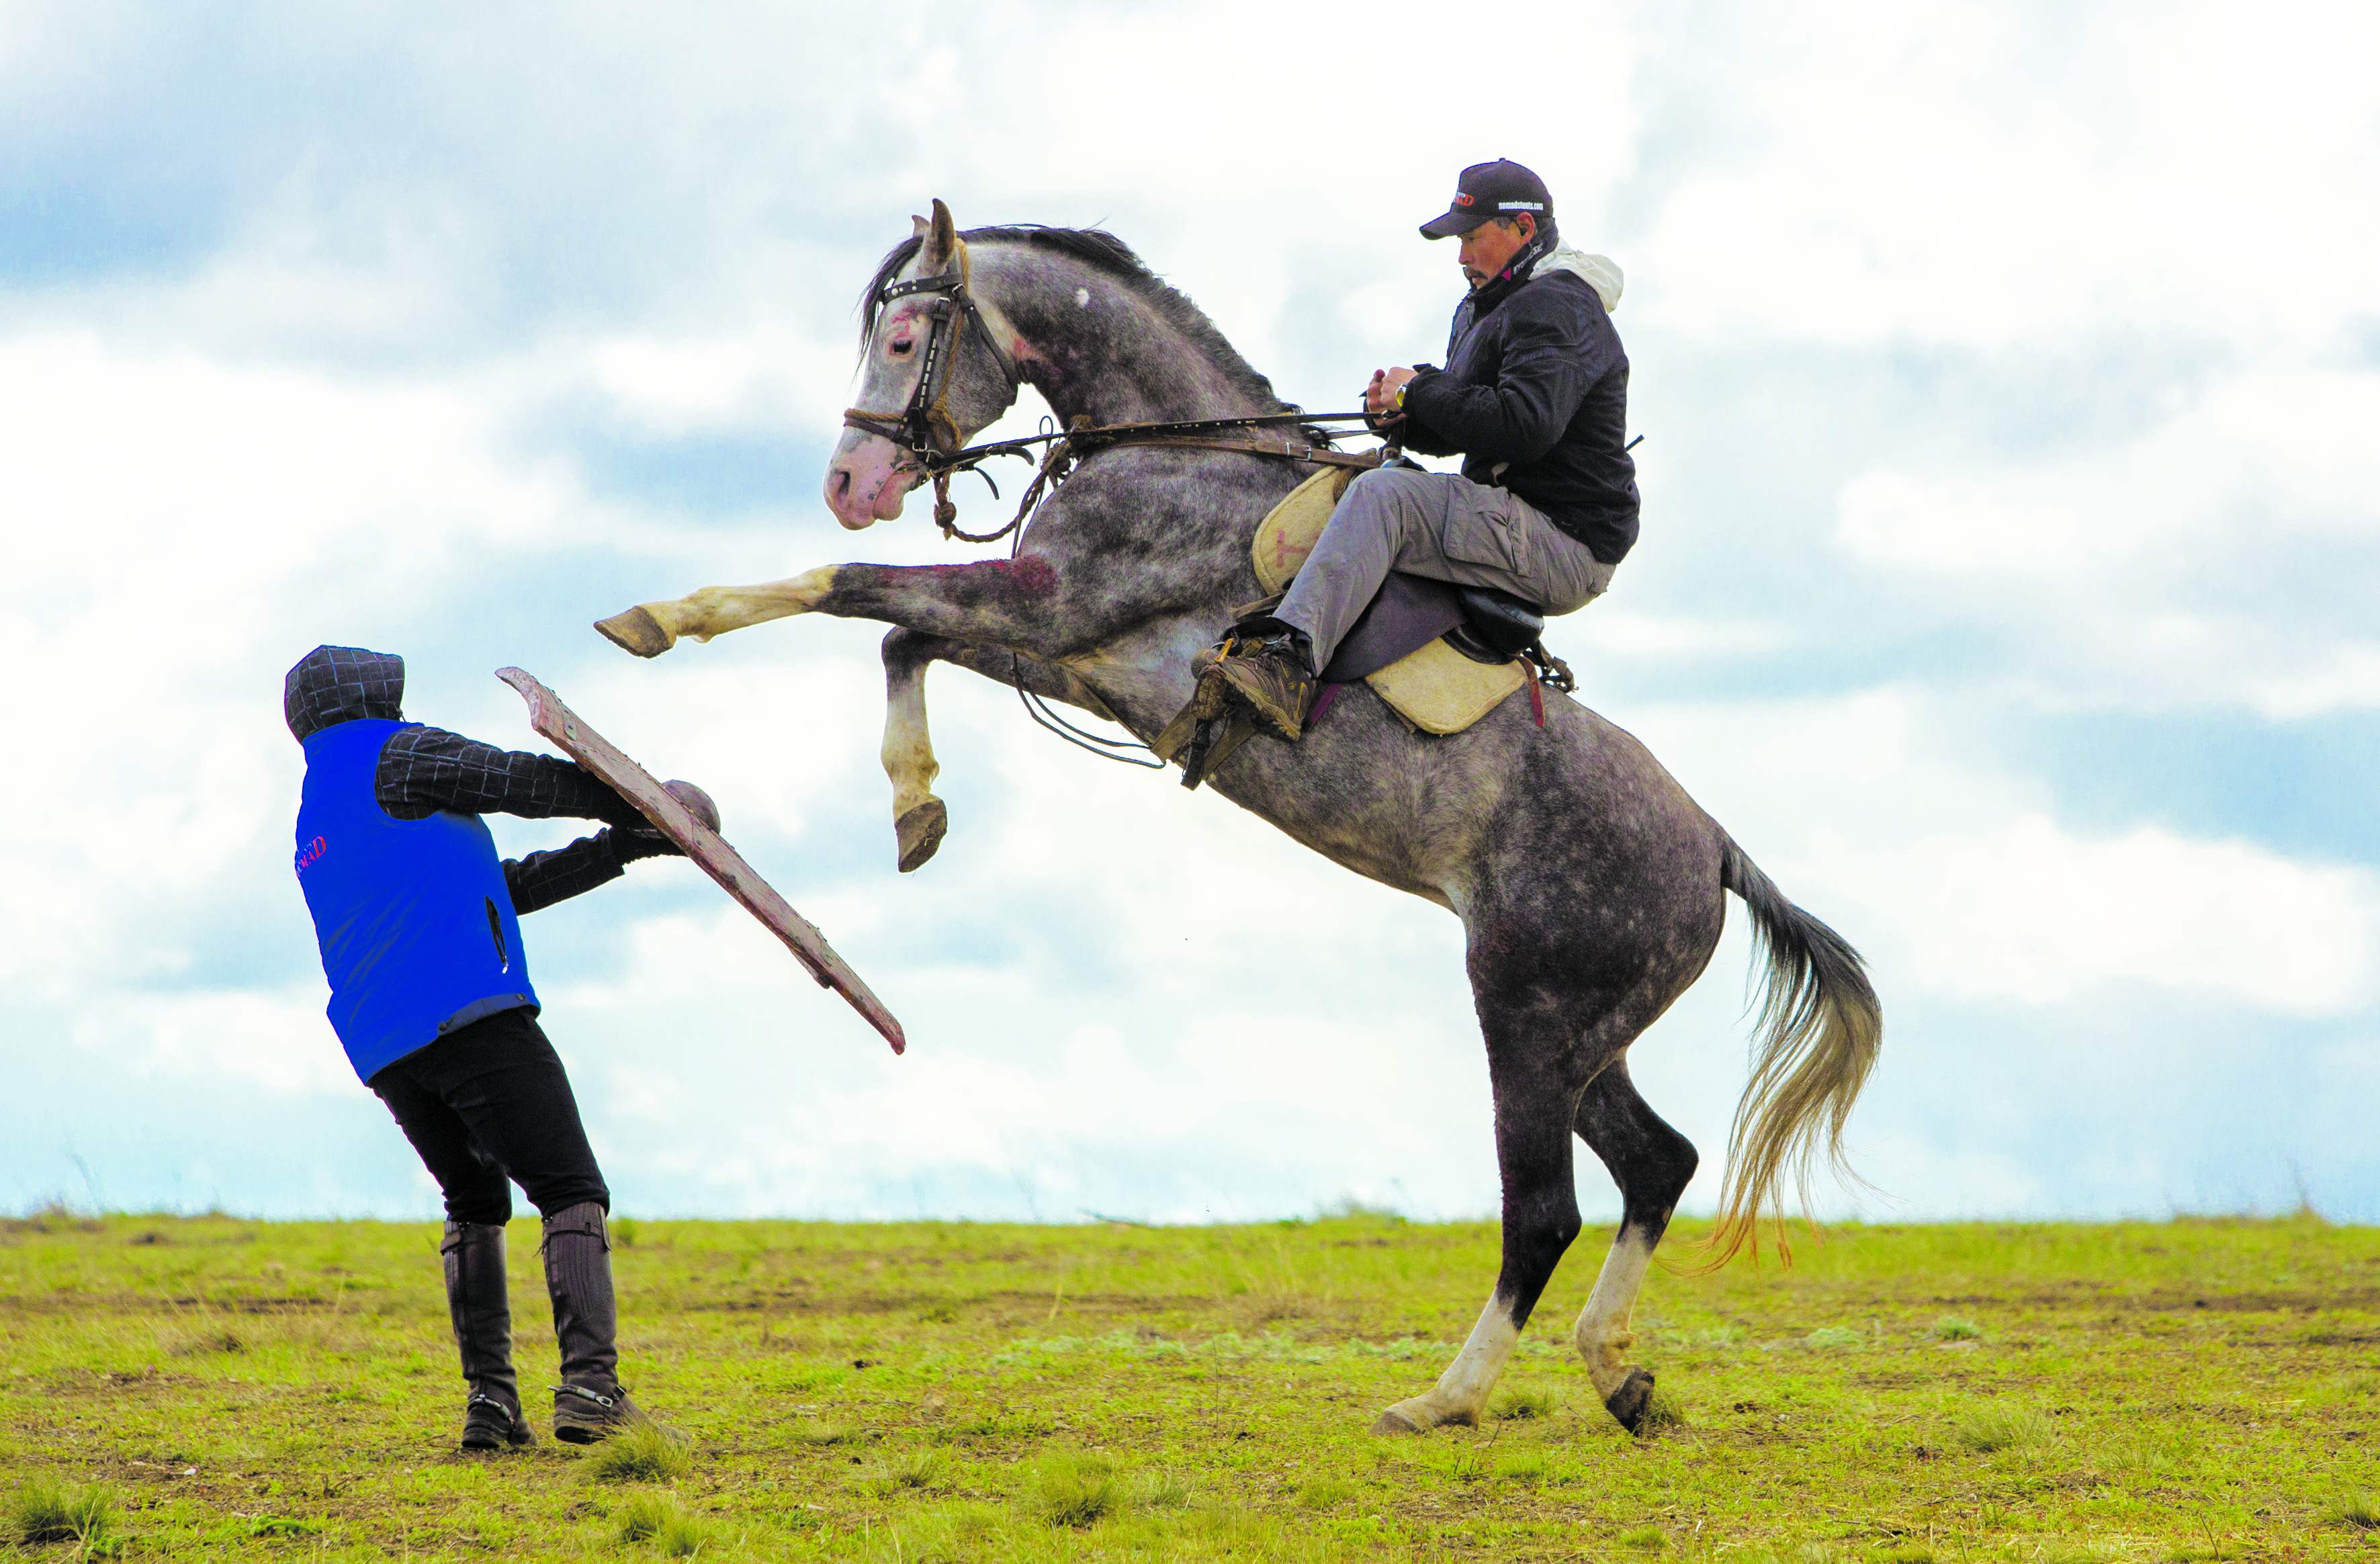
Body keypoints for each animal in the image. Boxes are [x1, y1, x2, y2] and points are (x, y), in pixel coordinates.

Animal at [594, 201, 1875, 1438]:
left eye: (905, 340)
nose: (849, 486)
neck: (1170, 450)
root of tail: (1711, 850)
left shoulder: (1047, 606)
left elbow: (840, 591)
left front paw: (658, 617)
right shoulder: (1069, 655)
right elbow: (901, 638)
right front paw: (917, 809)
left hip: (1524, 1011)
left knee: (1544, 1210)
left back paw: (1446, 1399)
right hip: (1583, 1033)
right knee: (1655, 1166)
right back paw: (1615, 1377)